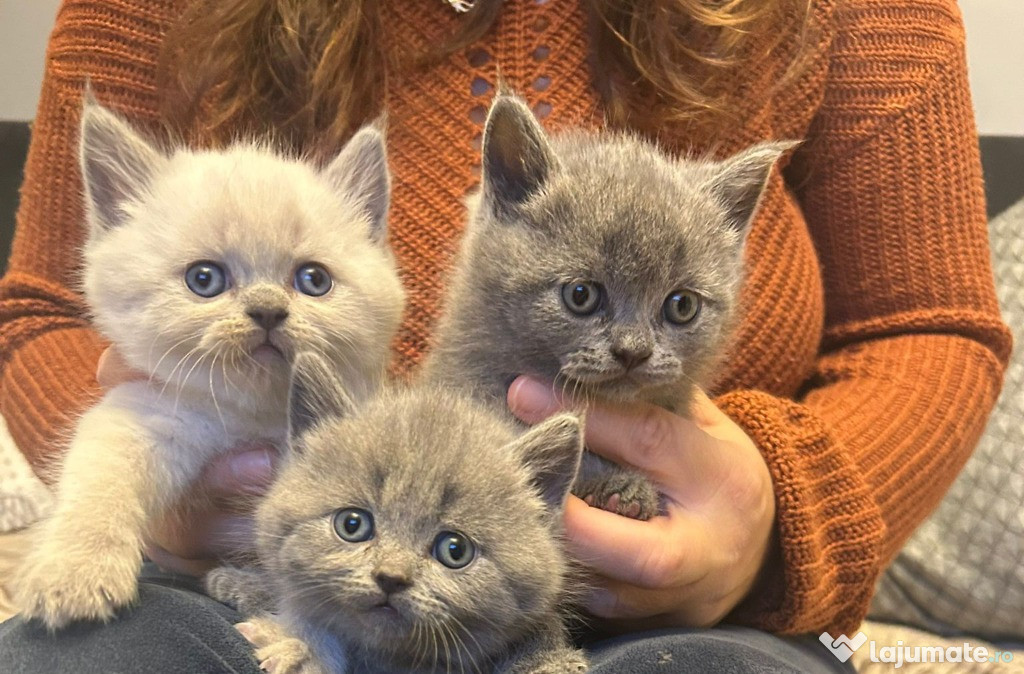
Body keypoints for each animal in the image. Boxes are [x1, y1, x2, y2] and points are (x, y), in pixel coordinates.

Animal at [14, 99, 403, 630]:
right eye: (204, 279)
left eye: (313, 280)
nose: (267, 310)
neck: (255, 416)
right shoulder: (142, 417)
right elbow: (99, 485)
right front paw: (74, 571)